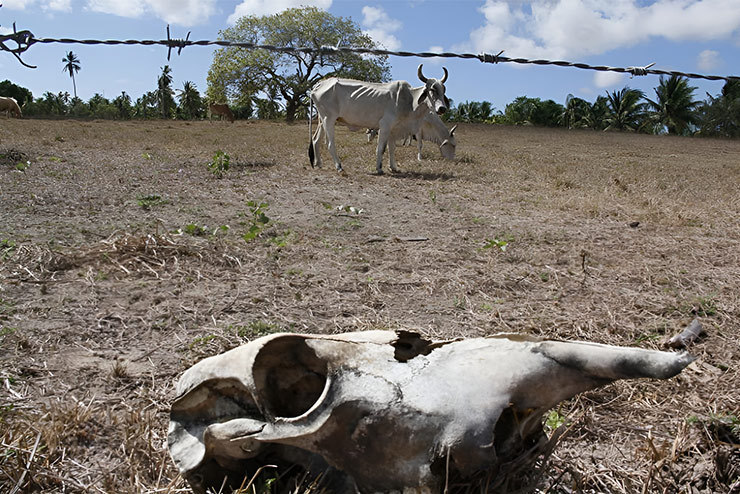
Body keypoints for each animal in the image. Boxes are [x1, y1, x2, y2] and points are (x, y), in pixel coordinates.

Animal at [308, 64, 450, 175]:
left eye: (443, 90)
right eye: (432, 90)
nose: (442, 108)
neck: (408, 100)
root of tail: (320, 84)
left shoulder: (394, 129)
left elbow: (392, 148)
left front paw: (393, 167)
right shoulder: (385, 126)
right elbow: (381, 148)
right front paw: (379, 168)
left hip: (322, 120)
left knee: (316, 140)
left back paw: (318, 163)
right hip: (329, 119)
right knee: (330, 144)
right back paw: (339, 166)